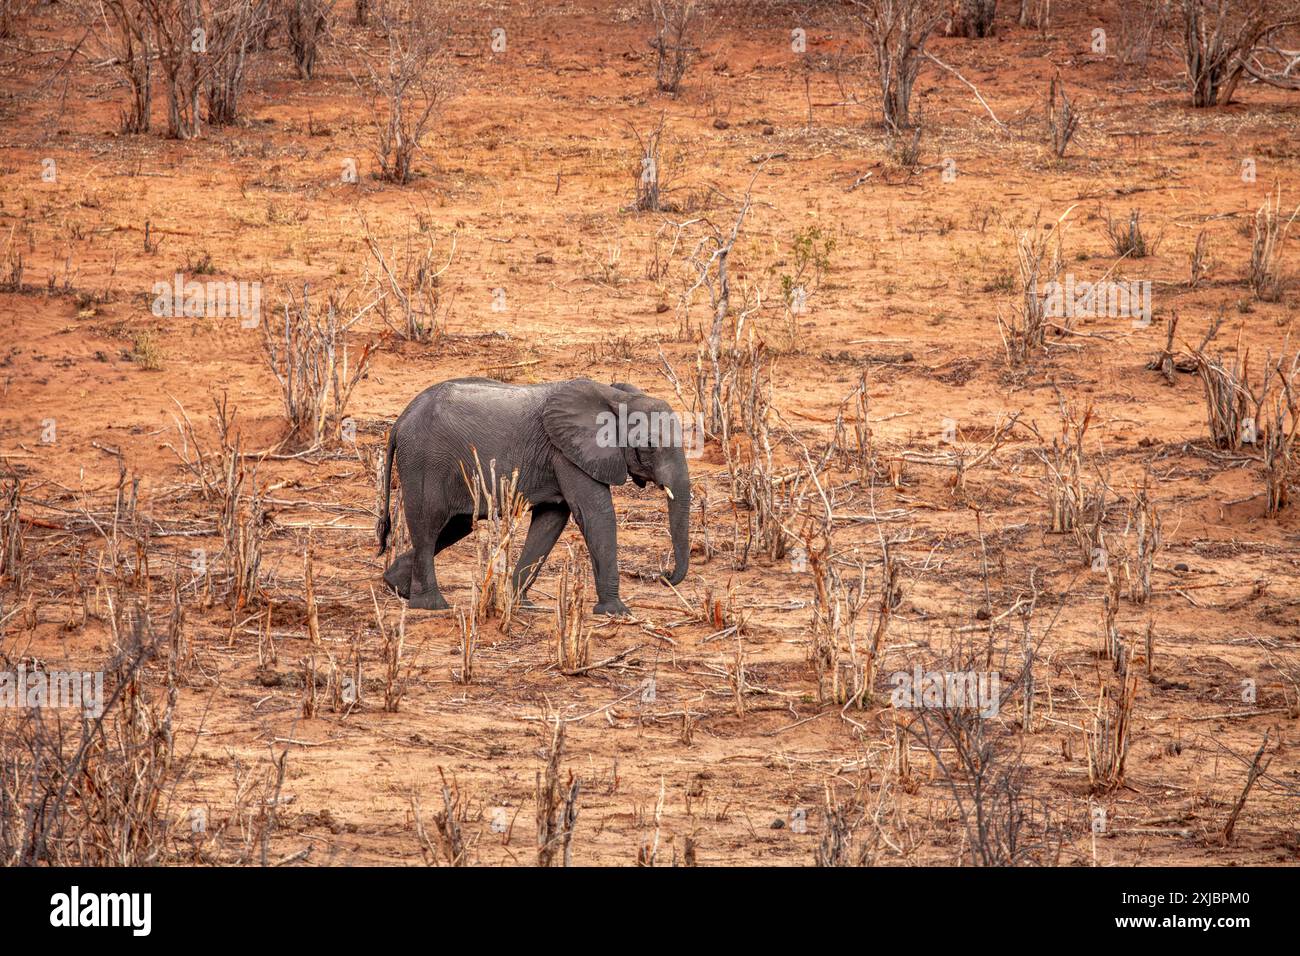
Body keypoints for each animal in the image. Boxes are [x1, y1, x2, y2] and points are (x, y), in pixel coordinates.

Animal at [377, 374, 691, 613]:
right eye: (649, 446)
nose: (663, 576)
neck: (615, 397)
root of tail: (400, 421)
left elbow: (551, 521)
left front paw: (519, 604)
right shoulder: (566, 452)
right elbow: (595, 516)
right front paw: (616, 611)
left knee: (453, 526)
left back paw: (396, 586)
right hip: (424, 462)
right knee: (428, 525)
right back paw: (431, 605)